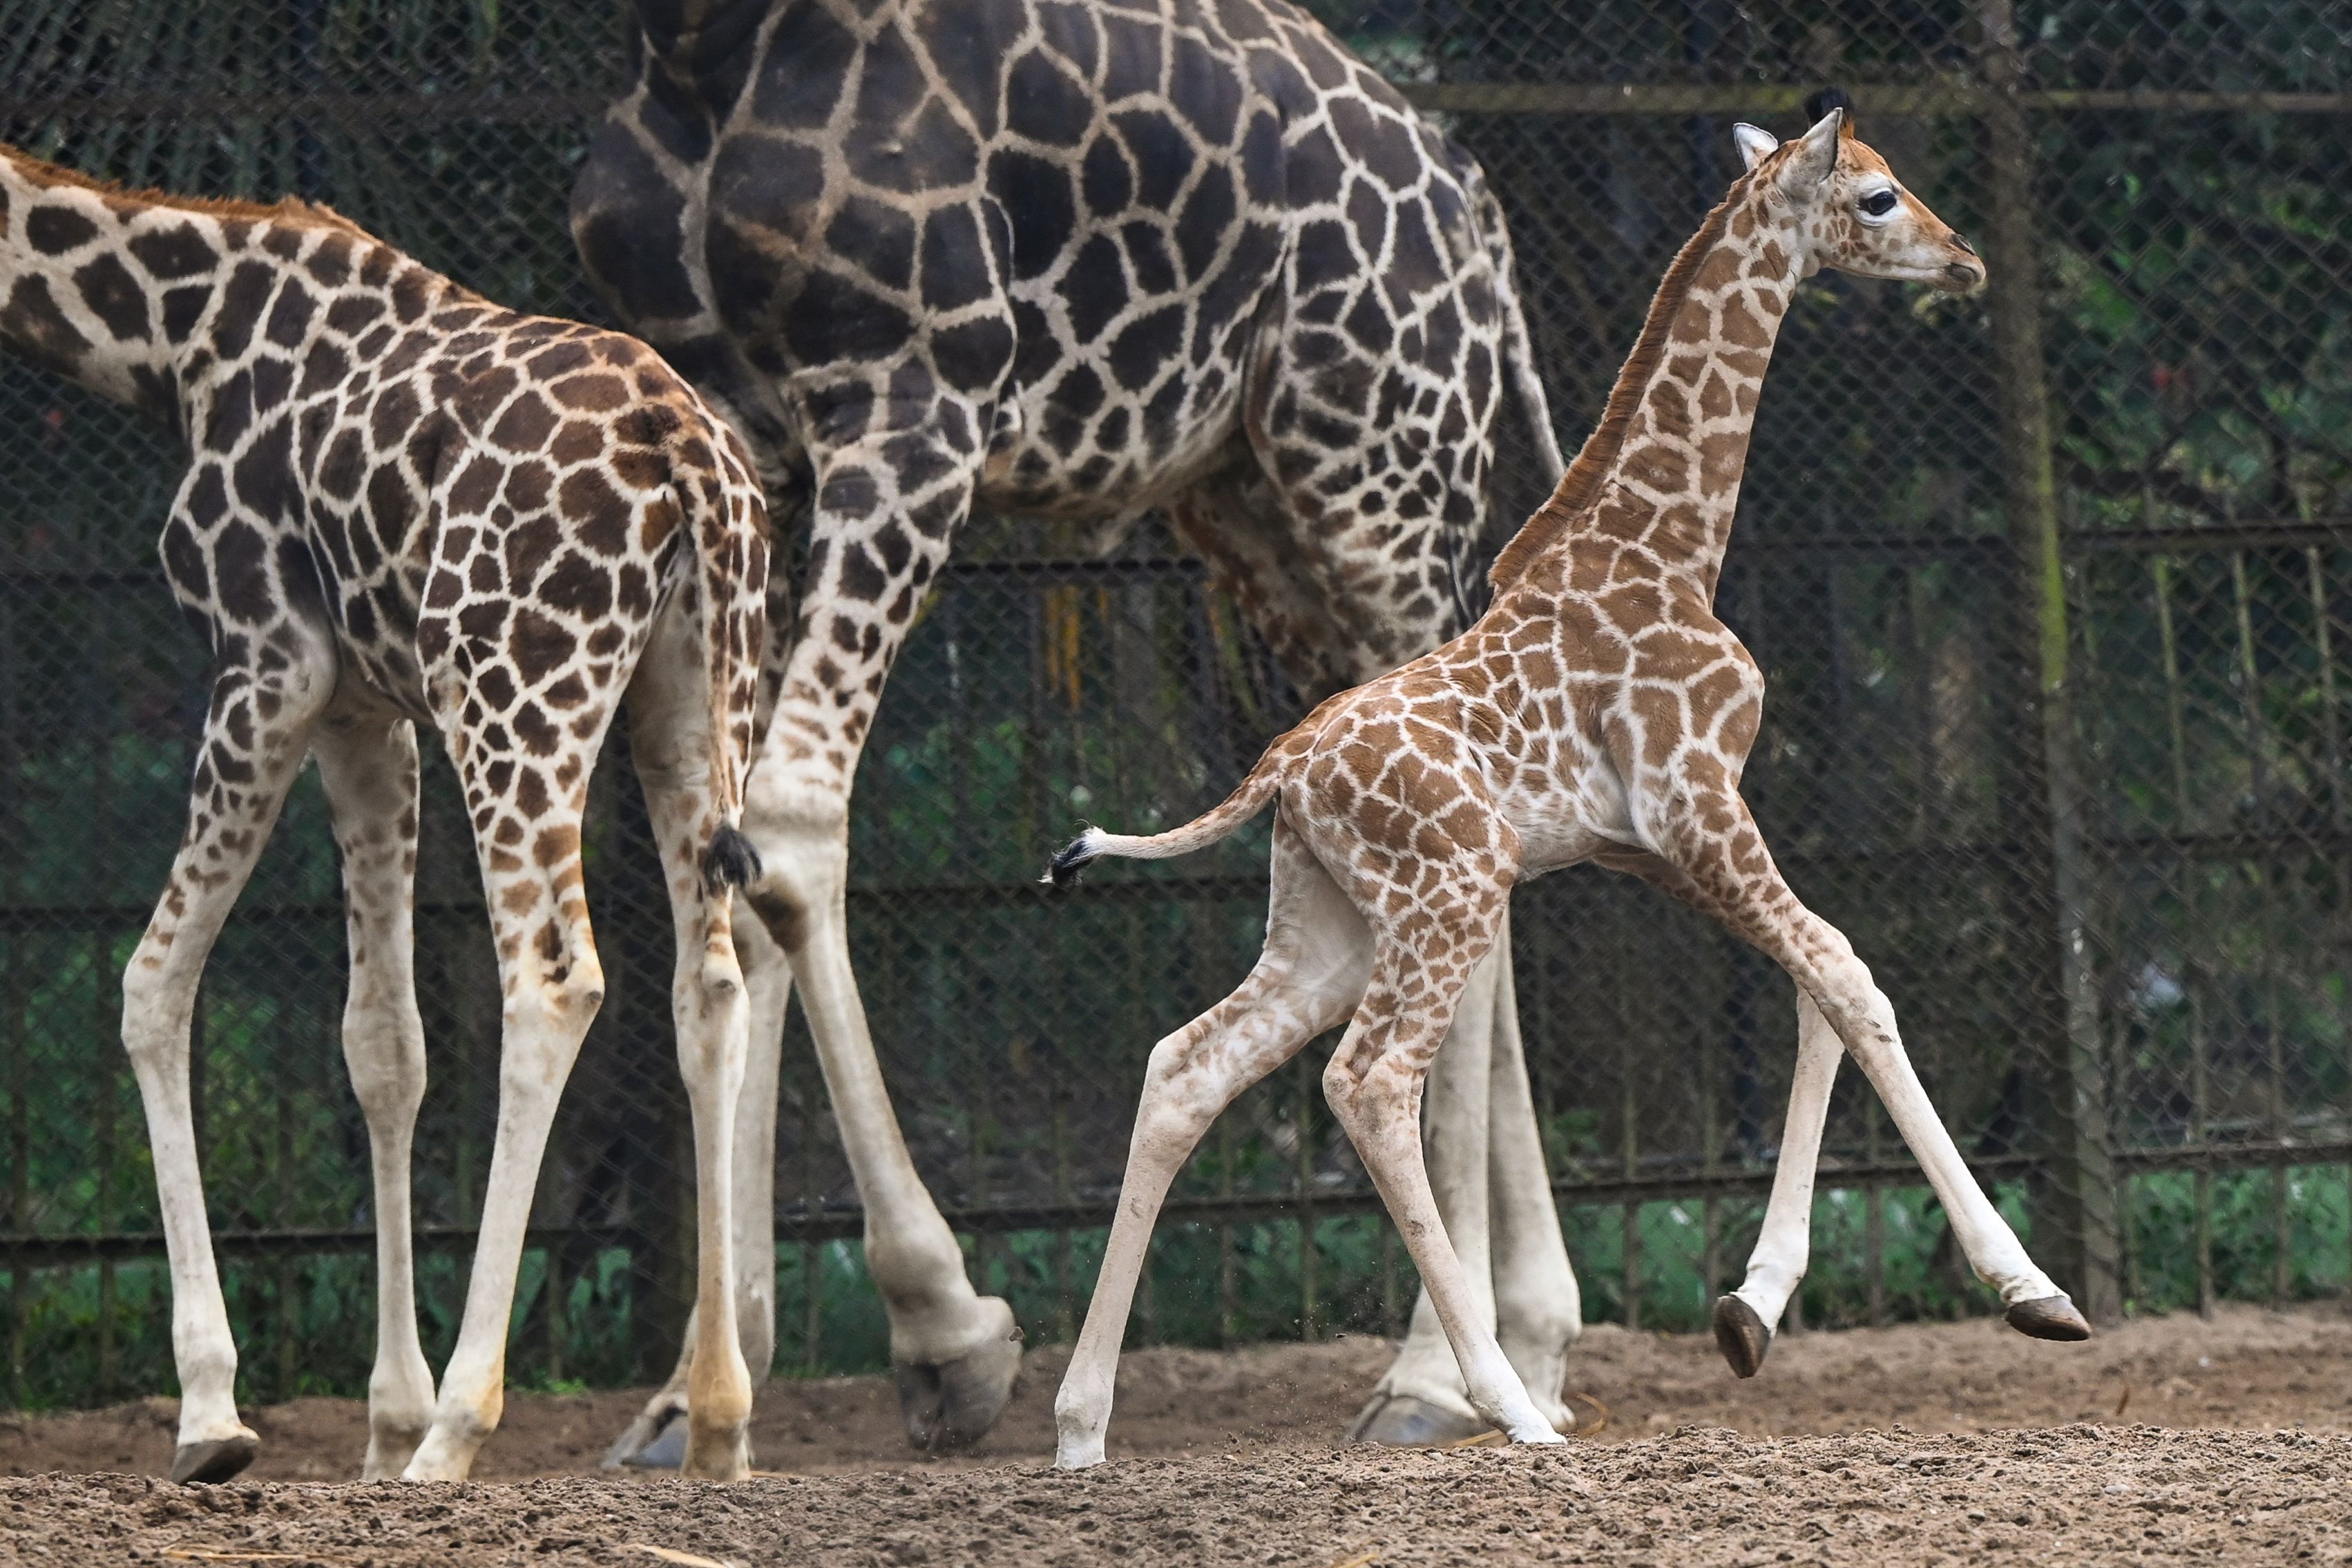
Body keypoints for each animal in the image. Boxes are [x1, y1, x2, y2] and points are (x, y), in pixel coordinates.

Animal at [0, 146, 771, 1485]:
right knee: (709, 983)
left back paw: (461, 1429)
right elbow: (384, 1044)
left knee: (555, 979)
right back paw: (717, 1425)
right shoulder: (368, 712)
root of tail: (689, 459)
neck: (175, 337)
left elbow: (152, 984)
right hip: (683, 694)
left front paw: (216, 1414)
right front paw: (380, 1420)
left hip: (514, 691)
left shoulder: (267, 663)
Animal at [573, 0, 1580, 1457]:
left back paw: (1435, 1374)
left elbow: (793, 823)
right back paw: (1536, 1340)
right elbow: (731, 856)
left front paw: (948, 1330)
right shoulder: (745, 436)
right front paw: (702, 1387)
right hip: (1255, 508)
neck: (699, 43)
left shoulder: (913, 399)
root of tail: (1476, 208)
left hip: (1376, 474)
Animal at [1049, 98, 2098, 1476]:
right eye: (1874, 195)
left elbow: (1820, 985)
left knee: (1186, 1065)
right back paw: (1506, 1403)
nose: (1963, 257)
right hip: (1450, 893)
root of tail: (1282, 769)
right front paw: (2033, 1290)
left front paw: (1752, 1309)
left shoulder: (1650, 841)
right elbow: (1852, 979)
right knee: (1368, 1083)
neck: (1670, 544)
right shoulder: (1698, 800)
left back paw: (1079, 1429)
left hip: (1329, 920)